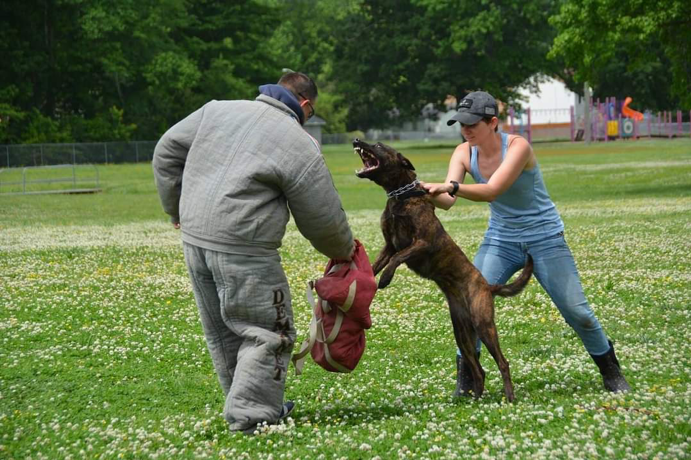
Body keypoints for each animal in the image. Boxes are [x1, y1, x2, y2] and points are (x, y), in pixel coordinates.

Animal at [354, 138, 532, 400]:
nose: (357, 140)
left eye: (377, 145)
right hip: (461, 332)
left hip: (483, 324)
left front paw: (385, 278)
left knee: (502, 362)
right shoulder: (389, 244)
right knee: (478, 369)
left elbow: (397, 258)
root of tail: (488, 286)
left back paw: (509, 397)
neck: (401, 196)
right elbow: (377, 264)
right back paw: (476, 399)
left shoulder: (421, 243)